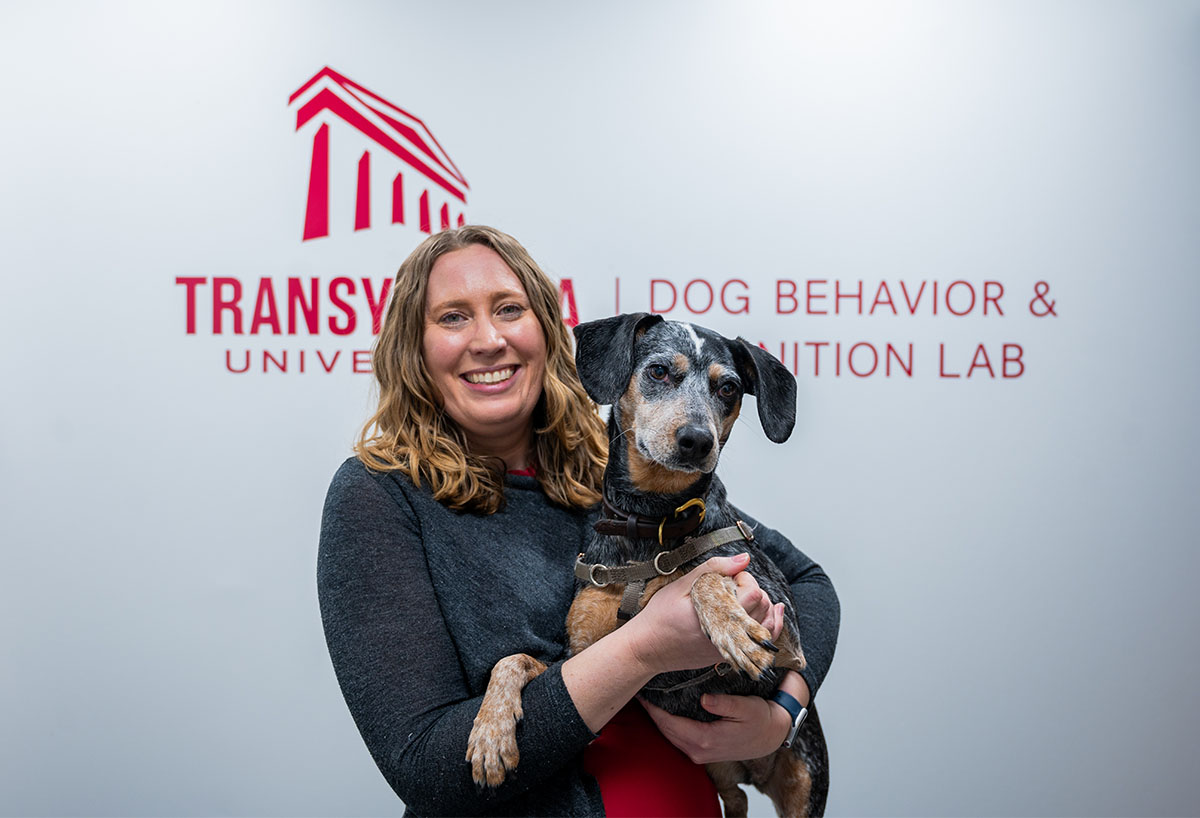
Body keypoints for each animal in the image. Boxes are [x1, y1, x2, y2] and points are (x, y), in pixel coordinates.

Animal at [465, 314, 825, 815]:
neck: (651, 523)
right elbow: (512, 659)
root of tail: (750, 770)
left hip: (805, 783)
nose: (697, 440)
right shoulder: (583, 659)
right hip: (724, 780)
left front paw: (731, 626)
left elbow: (705, 575)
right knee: (736, 799)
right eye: (658, 371)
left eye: (729, 388)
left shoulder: (788, 637)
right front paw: (490, 733)